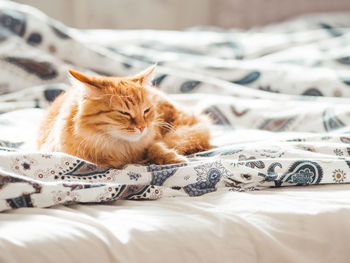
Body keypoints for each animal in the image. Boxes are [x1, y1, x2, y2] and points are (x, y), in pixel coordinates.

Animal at [37, 66, 212, 169]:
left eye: (146, 111)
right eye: (124, 113)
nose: (142, 127)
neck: (121, 148)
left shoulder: (152, 140)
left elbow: (155, 148)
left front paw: (172, 157)